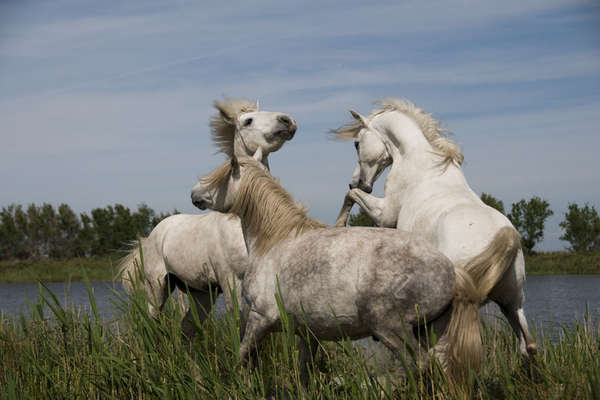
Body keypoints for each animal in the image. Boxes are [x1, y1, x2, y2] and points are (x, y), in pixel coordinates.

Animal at [119, 100, 298, 334]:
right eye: (248, 121)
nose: (287, 121)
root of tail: (151, 236)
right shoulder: (231, 281)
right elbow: (238, 324)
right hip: (158, 287)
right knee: (153, 318)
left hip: (201, 294)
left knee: (186, 328)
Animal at [199, 136, 486, 382]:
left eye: (219, 177)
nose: (195, 193)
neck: (273, 243)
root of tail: (452, 271)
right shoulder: (307, 333)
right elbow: (304, 374)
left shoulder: (260, 319)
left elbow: (242, 357)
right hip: (432, 331)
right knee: (438, 365)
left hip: (391, 329)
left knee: (418, 364)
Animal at [336, 98, 536, 358]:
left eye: (357, 143)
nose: (357, 182)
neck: (418, 159)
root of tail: (508, 240)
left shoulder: (385, 214)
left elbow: (350, 197)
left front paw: (339, 224)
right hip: (512, 303)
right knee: (527, 345)